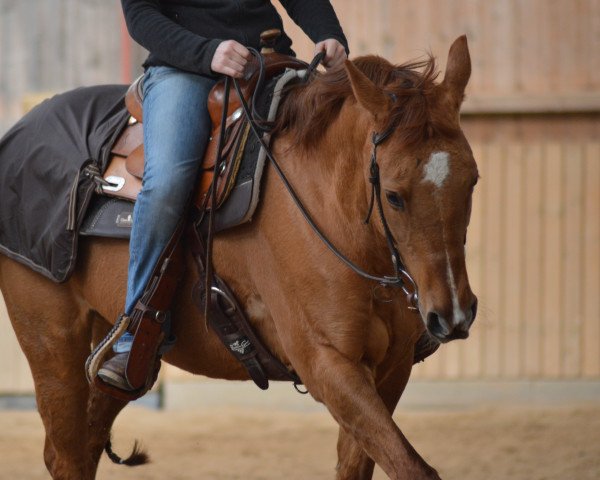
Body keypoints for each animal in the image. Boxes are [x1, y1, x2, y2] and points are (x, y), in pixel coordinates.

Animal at [0, 35, 478, 478]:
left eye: (472, 180)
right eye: (394, 196)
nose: (453, 314)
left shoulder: (391, 367)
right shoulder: (328, 364)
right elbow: (413, 467)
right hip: (52, 342)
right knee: (66, 454)